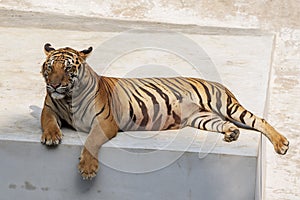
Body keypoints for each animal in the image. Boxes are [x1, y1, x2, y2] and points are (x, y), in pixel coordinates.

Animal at [39, 43, 288, 180]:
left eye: (68, 68)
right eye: (50, 67)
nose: (54, 85)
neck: (68, 98)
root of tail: (216, 82)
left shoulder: (104, 122)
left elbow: (91, 141)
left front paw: (88, 169)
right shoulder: (49, 108)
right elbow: (48, 121)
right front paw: (51, 137)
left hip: (226, 104)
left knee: (259, 120)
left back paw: (281, 143)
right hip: (202, 118)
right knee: (226, 124)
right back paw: (232, 134)